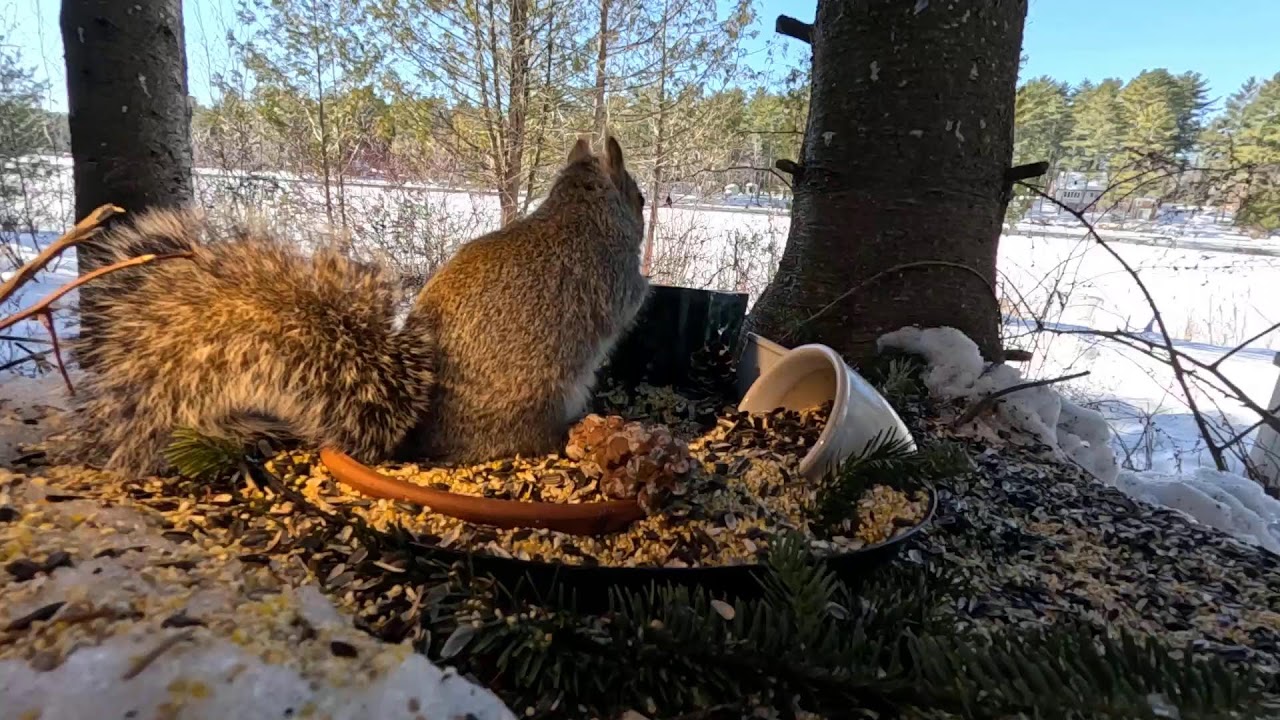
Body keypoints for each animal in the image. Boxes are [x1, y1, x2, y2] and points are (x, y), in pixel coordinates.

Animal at [60, 135, 648, 478]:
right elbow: (628, 302)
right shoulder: (611, 278)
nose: (646, 206)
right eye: (640, 198)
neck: (577, 208)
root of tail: (416, 439)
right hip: (543, 402)